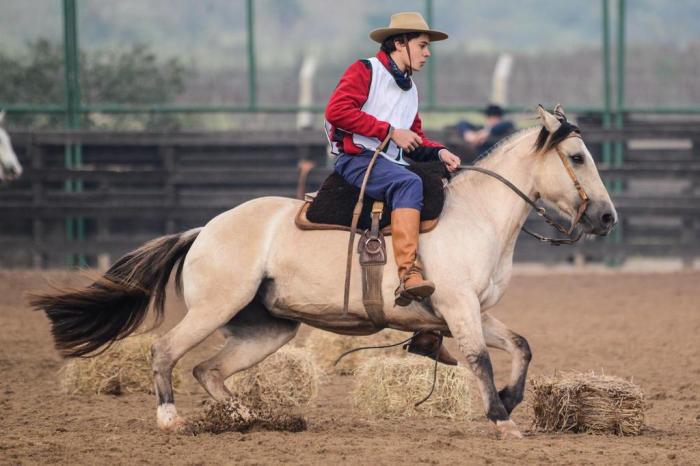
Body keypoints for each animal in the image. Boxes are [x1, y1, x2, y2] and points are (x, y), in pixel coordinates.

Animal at [30, 104, 616, 438]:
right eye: (578, 157)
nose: (607, 217)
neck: (475, 214)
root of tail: (204, 230)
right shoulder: (457, 307)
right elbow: (479, 360)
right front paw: (501, 417)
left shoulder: (471, 310)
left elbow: (520, 344)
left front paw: (513, 401)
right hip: (215, 308)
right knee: (165, 351)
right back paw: (170, 419)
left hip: (267, 328)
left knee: (209, 370)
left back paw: (248, 418)